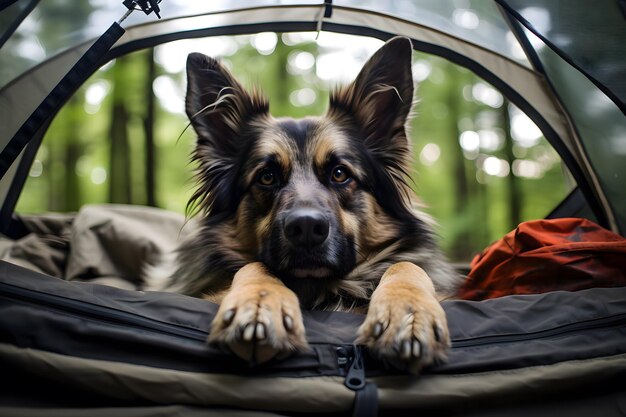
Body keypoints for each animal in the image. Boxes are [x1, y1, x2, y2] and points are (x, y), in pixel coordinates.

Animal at [146, 37, 458, 372]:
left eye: (339, 174)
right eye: (267, 177)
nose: (307, 228)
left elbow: (406, 265)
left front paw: (409, 313)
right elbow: (255, 265)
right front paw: (258, 304)